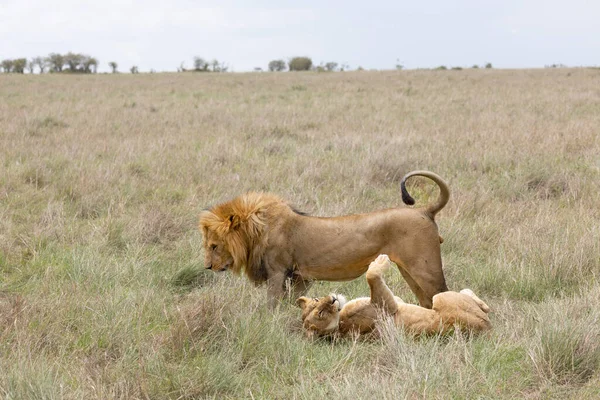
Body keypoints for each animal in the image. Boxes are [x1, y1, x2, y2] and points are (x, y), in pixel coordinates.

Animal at [200, 170, 450, 308]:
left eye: (214, 246)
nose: (208, 267)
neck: (258, 231)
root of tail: (425, 210)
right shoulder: (300, 277)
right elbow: (293, 303)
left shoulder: (278, 272)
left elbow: (272, 305)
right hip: (408, 270)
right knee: (427, 301)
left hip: (425, 269)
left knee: (443, 295)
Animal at [296, 256, 492, 338]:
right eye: (321, 314)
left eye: (316, 301)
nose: (331, 299)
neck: (341, 324)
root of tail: (485, 326)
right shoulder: (387, 307)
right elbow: (371, 276)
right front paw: (380, 260)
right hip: (441, 298)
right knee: (483, 306)